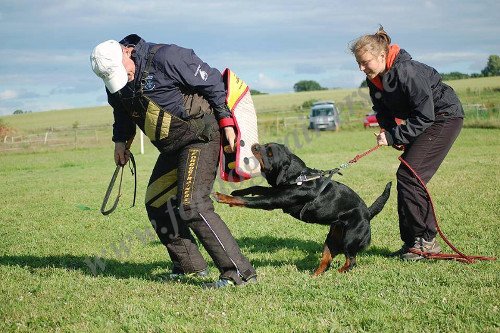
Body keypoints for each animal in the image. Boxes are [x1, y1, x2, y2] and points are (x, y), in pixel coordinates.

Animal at [215, 141, 390, 274]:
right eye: (266, 145)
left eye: (270, 153)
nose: (256, 145)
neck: (298, 178)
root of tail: (368, 213)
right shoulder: (276, 191)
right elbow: (256, 188)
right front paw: (237, 191)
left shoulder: (272, 200)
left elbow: (246, 200)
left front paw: (223, 197)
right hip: (332, 239)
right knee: (326, 260)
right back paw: (315, 276)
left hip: (350, 239)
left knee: (351, 261)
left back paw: (339, 272)